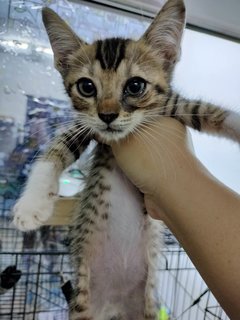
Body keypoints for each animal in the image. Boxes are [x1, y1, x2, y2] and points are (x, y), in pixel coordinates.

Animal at [12, 0, 240, 320]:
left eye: (135, 86)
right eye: (86, 87)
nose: (107, 115)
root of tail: (115, 305)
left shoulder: (172, 105)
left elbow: (206, 111)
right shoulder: (86, 127)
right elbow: (55, 150)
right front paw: (31, 206)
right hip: (83, 305)